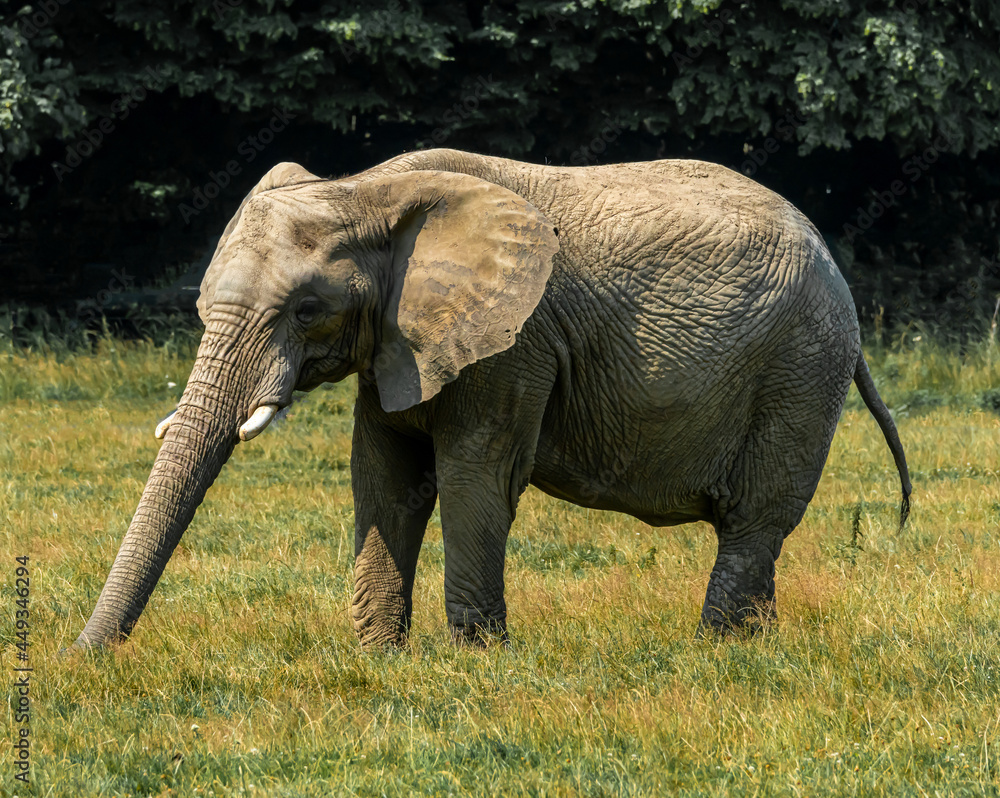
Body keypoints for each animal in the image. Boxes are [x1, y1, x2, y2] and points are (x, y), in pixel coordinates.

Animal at [69, 147, 911, 651]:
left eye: (307, 310)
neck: (370, 190)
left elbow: (477, 476)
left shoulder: (515, 345)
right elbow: (385, 479)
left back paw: (718, 656)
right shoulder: (402, 340)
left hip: (800, 370)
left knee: (755, 521)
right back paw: (750, 648)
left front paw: (476, 666)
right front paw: (378, 660)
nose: (82, 658)